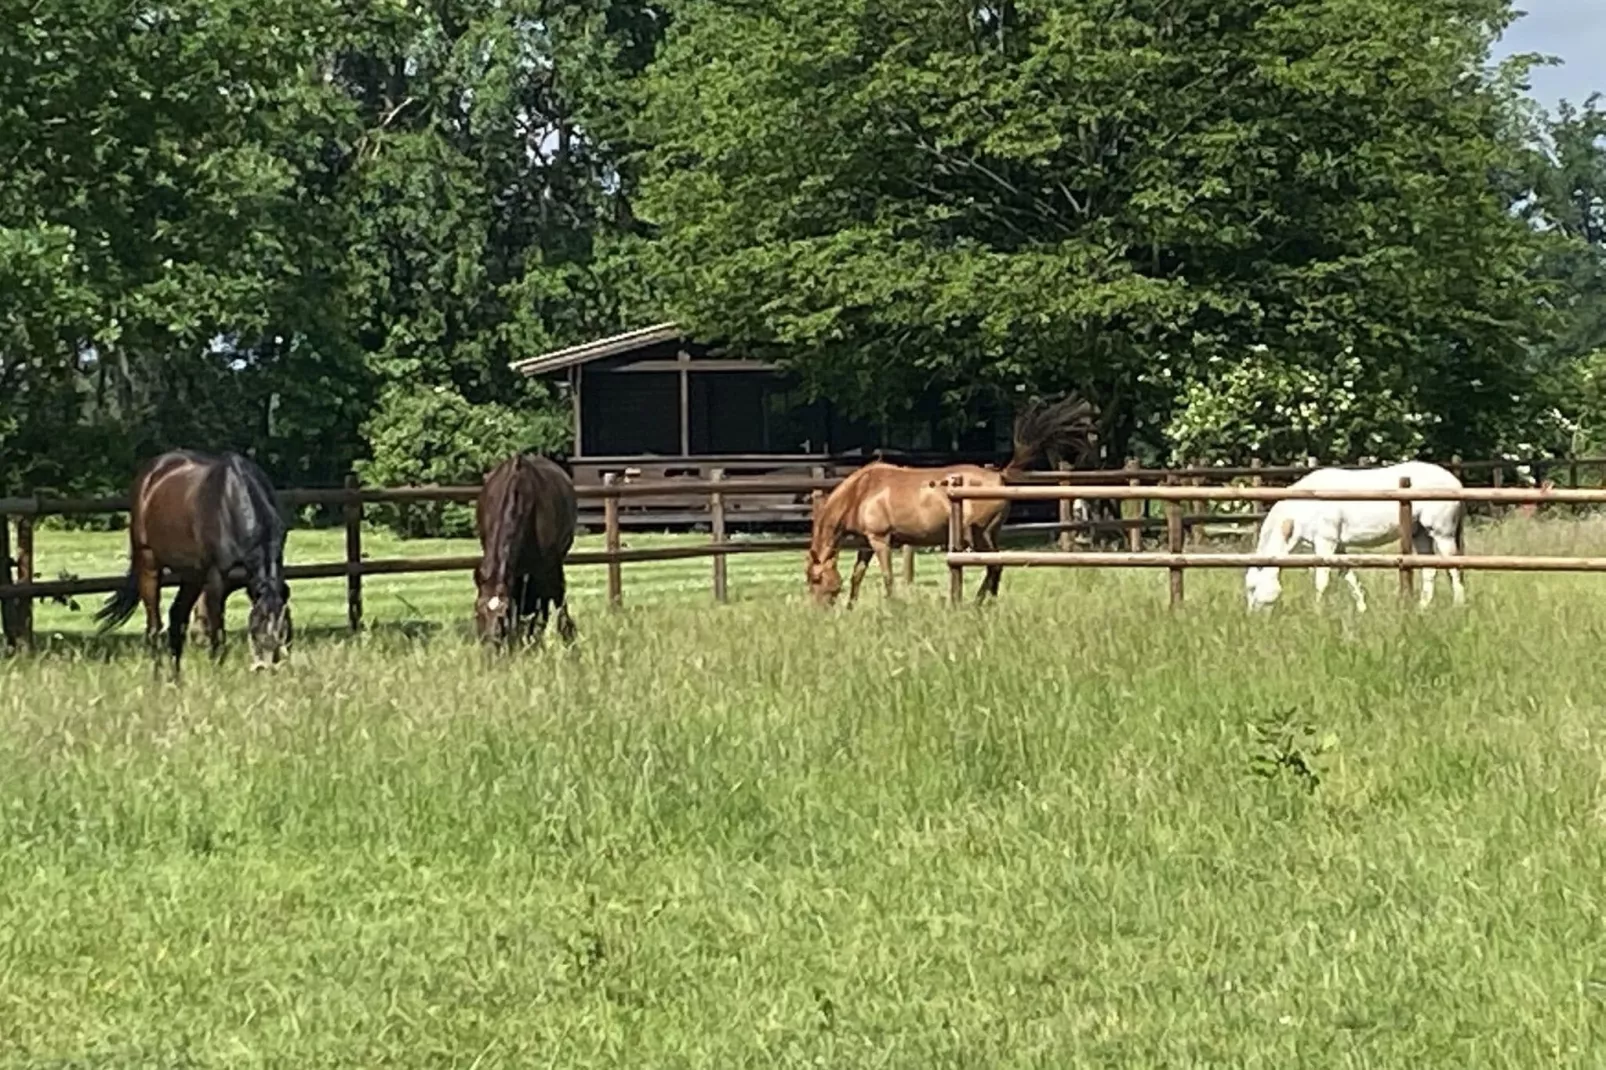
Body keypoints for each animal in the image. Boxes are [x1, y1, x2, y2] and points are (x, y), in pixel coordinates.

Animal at [94, 449, 295, 674]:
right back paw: (158, 675)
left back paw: (175, 676)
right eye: (257, 630)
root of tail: (151, 473)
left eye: (285, 632)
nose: (267, 667)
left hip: (192, 576)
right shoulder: (217, 584)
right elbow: (217, 635)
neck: (232, 502)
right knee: (154, 627)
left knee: (176, 618)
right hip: (149, 564)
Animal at [809, 395, 1098, 604]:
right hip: (989, 534)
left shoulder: (880, 540)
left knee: (994, 566)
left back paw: (979, 603)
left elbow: (888, 577)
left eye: (814, 579)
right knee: (996, 567)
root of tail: (999, 475)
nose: (819, 611)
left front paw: (892, 607)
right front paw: (851, 607)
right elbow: (857, 576)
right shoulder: (866, 544)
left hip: (978, 535)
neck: (862, 492)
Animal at [1239, 456, 1471, 613]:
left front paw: (1317, 611)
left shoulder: (1325, 544)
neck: (1305, 503)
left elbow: (1322, 581)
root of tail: (1455, 482)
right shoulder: (1338, 547)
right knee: (1429, 570)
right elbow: (1349, 577)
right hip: (1421, 535)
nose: (1252, 619)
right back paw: (1423, 607)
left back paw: (1458, 606)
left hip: (1442, 534)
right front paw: (1362, 608)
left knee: (1454, 568)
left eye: (1253, 588)